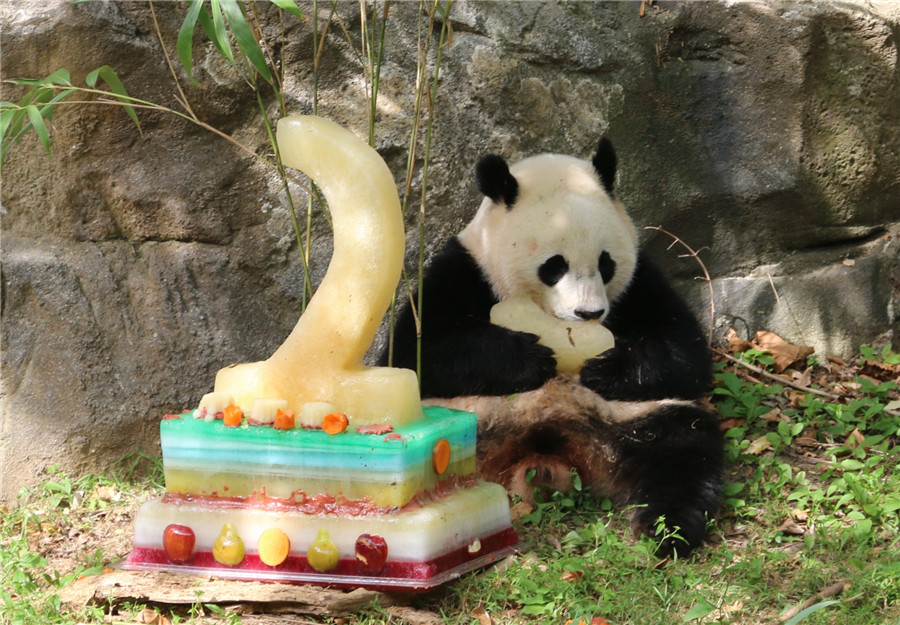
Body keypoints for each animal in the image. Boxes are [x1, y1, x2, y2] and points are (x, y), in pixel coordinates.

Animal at [380, 138, 724, 556]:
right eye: (554, 266)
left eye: (606, 263)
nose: (589, 313)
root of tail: (551, 445)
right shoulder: (467, 267)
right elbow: (414, 352)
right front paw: (531, 357)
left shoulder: (638, 282)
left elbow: (685, 353)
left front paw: (604, 367)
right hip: (462, 423)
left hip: (635, 417)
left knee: (683, 449)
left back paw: (668, 529)